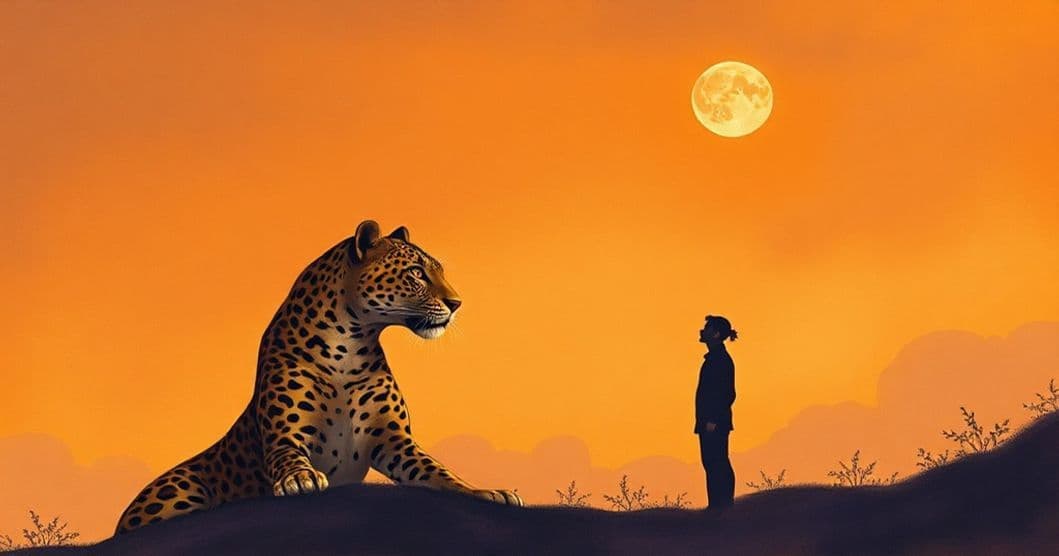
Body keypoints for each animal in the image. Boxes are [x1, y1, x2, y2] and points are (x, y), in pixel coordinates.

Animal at [115, 220, 522, 533]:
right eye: (417, 273)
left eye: (438, 271)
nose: (457, 303)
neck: (350, 344)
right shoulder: (285, 437)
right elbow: (290, 457)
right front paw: (300, 478)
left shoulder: (395, 442)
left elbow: (440, 474)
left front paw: (488, 493)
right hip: (178, 490)